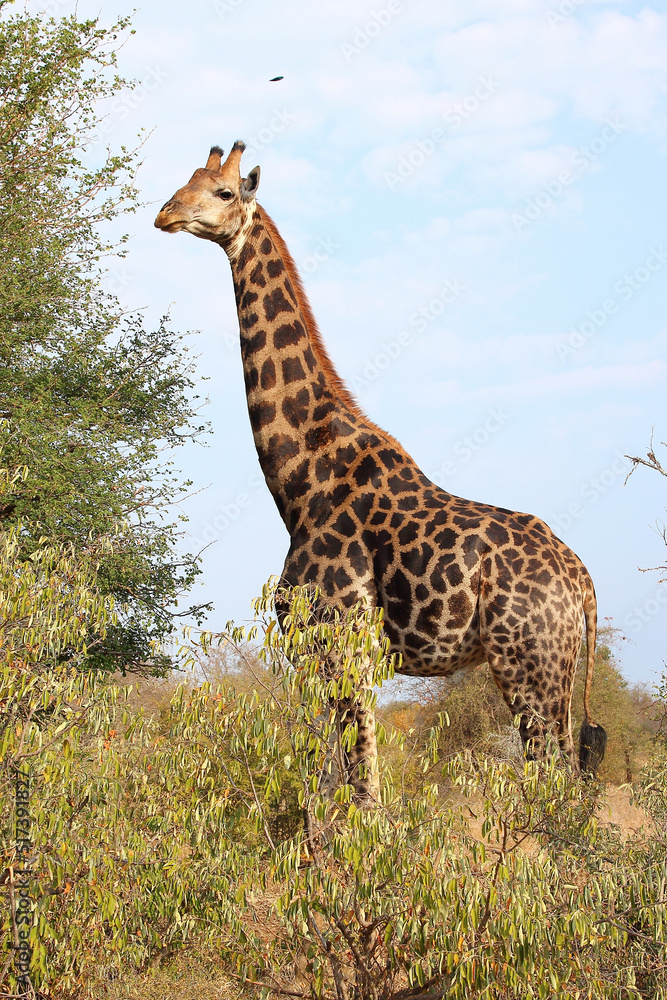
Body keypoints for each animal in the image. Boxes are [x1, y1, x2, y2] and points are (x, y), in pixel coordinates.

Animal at [155, 142, 607, 802]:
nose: (164, 214)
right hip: (556, 671)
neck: (297, 479)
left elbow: (364, 788)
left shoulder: (344, 642)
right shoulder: (315, 652)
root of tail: (583, 583)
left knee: (553, 779)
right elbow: (331, 780)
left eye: (224, 192)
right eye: (186, 179)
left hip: (530, 665)